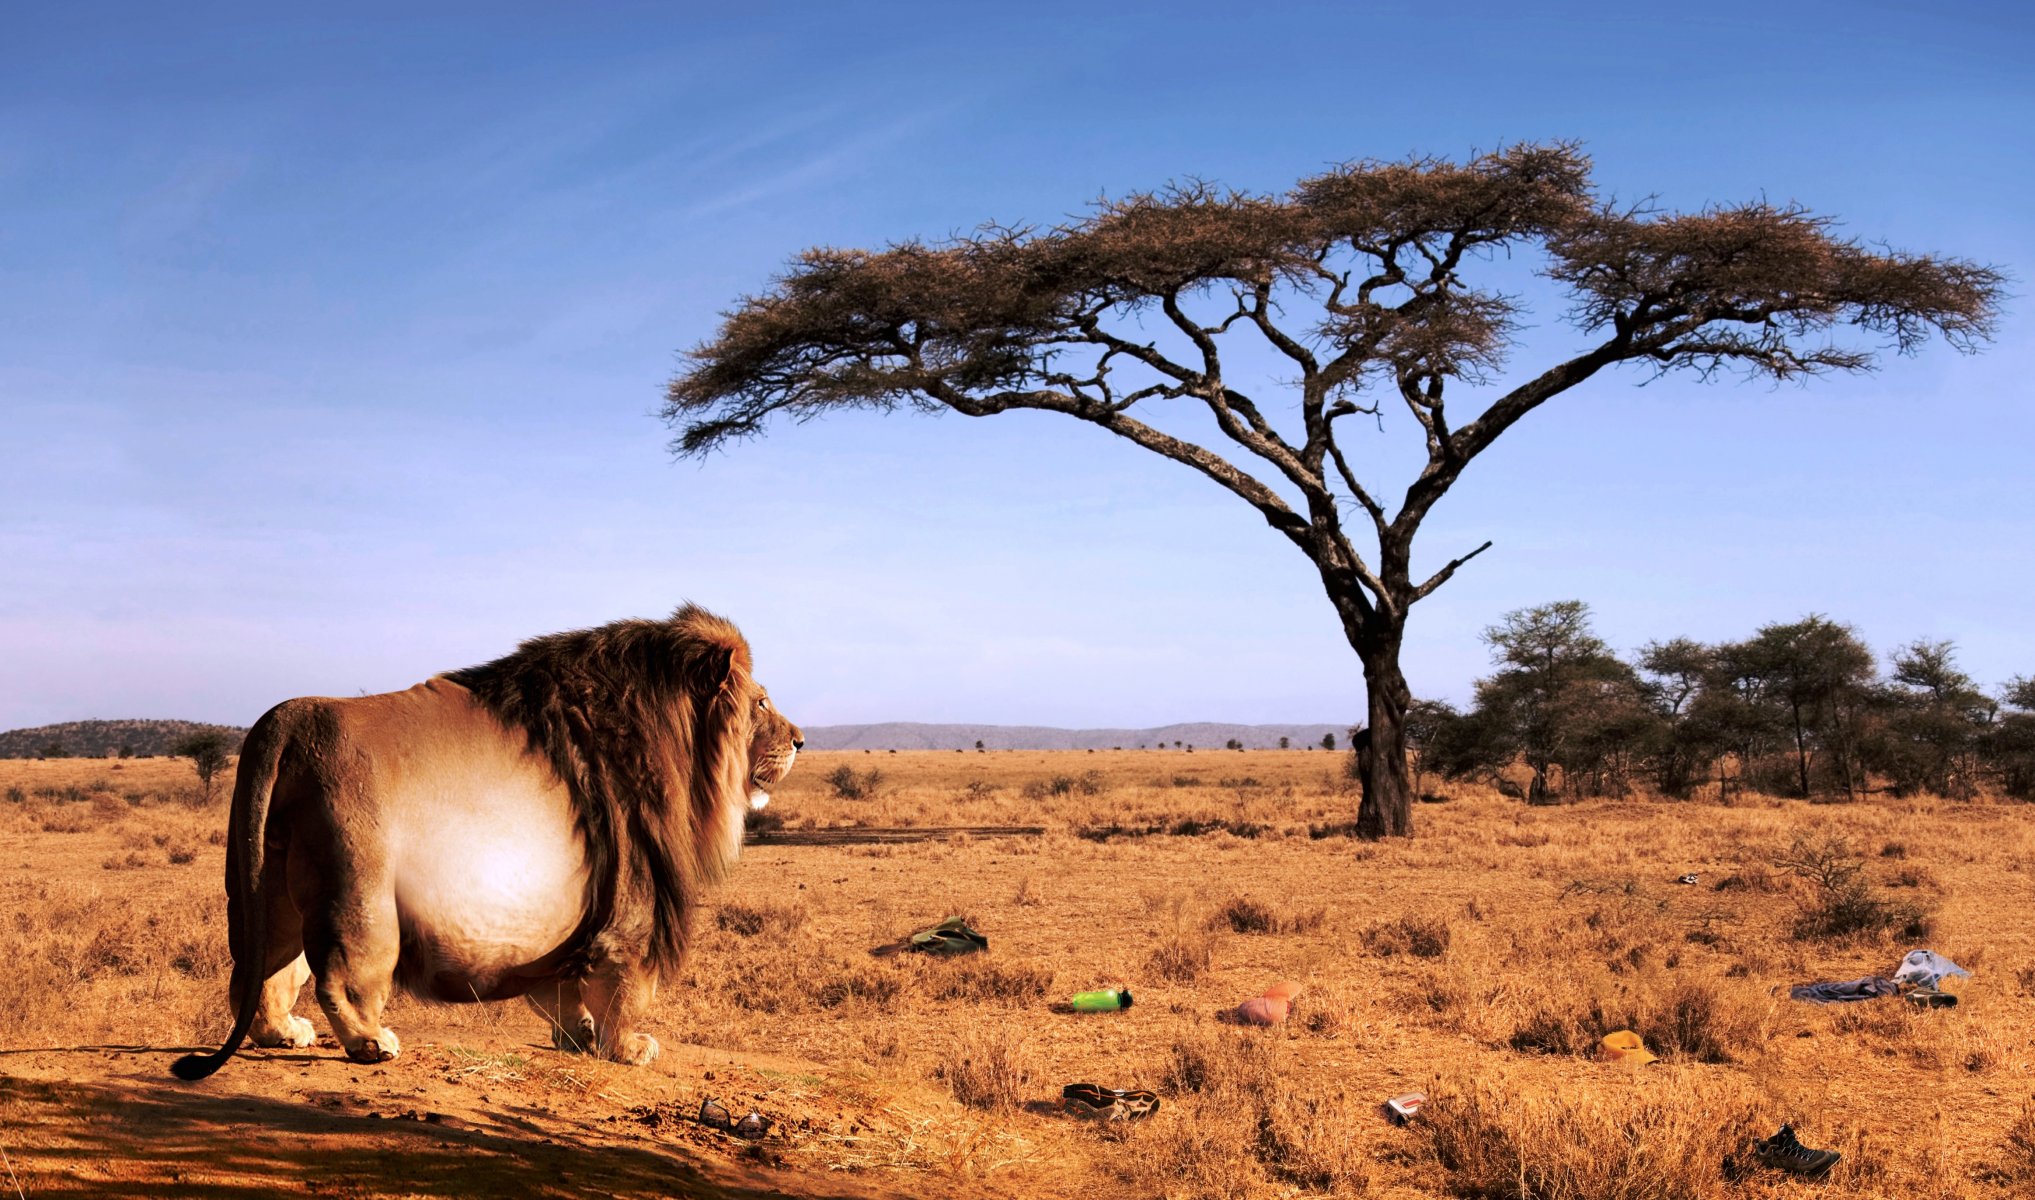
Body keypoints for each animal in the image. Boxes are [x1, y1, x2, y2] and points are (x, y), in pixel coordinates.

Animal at [170, 606, 797, 1090]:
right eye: (762, 703)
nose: (799, 740)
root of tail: (288, 719)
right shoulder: (633, 904)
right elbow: (626, 987)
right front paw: (627, 1047)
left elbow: (561, 988)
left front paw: (579, 1036)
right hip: (360, 891)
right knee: (338, 977)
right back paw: (372, 1043)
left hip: (265, 882)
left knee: (258, 971)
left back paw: (283, 1033)